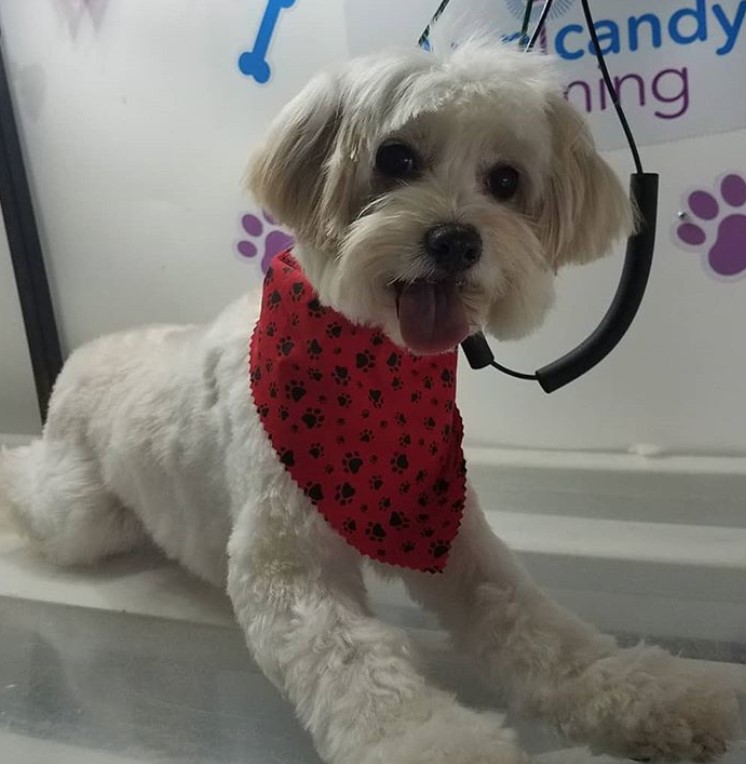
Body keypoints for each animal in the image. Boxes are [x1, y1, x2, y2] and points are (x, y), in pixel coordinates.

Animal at [0, 41, 736, 764]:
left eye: (505, 180)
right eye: (395, 158)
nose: (455, 240)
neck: (376, 375)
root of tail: (84, 354)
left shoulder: (456, 536)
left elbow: (541, 628)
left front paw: (648, 692)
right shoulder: (287, 570)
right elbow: (355, 660)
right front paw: (433, 740)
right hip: (80, 513)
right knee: (36, 489)